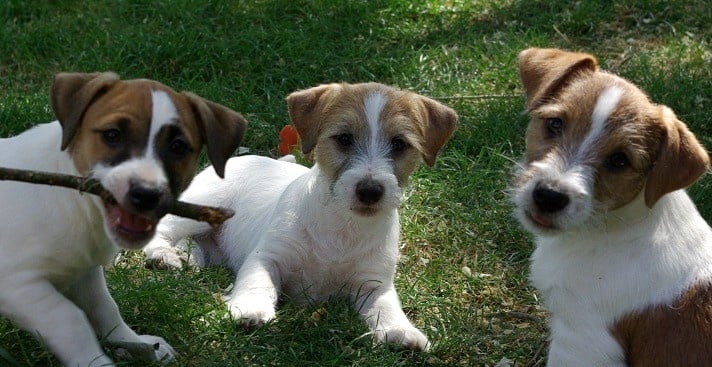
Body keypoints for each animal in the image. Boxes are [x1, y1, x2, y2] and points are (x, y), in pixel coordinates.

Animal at [0, 72, 248, 367]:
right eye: (112, 135)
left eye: (178, 147)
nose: (146, 194)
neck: (76, 204)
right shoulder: (17, 283)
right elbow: (70, 320)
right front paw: (95, 361)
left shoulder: (84, 272)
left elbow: (105, 308)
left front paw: (138, 343)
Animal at [143, 82, 456, 352]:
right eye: (344, 139)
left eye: (399, 144)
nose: (370, 190)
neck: (343, 226)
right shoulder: (267, 257)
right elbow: (257, 281)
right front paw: (251, 308)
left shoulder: (374, 281)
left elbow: (386, 305)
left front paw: (400, 330)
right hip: (205, 207)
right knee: (164, 228)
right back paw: (163, 255)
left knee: (196, 243)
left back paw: (188, 256)